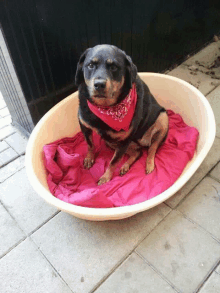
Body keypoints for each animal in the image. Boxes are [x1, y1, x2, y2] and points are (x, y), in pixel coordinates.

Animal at [75, 44, 168, 184]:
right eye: (90, 65)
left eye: (114, 67)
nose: (99, 84)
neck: (106, 107)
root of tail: (142, 142)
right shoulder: (85, 126)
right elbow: (90, 144)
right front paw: (89, 159)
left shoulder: (123, 141)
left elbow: (113, 162)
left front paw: (105, 178)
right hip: (111, 141)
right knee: (138, 152)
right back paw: (125, 166)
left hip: (163, 118)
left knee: (152, 148)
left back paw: (149, 164)